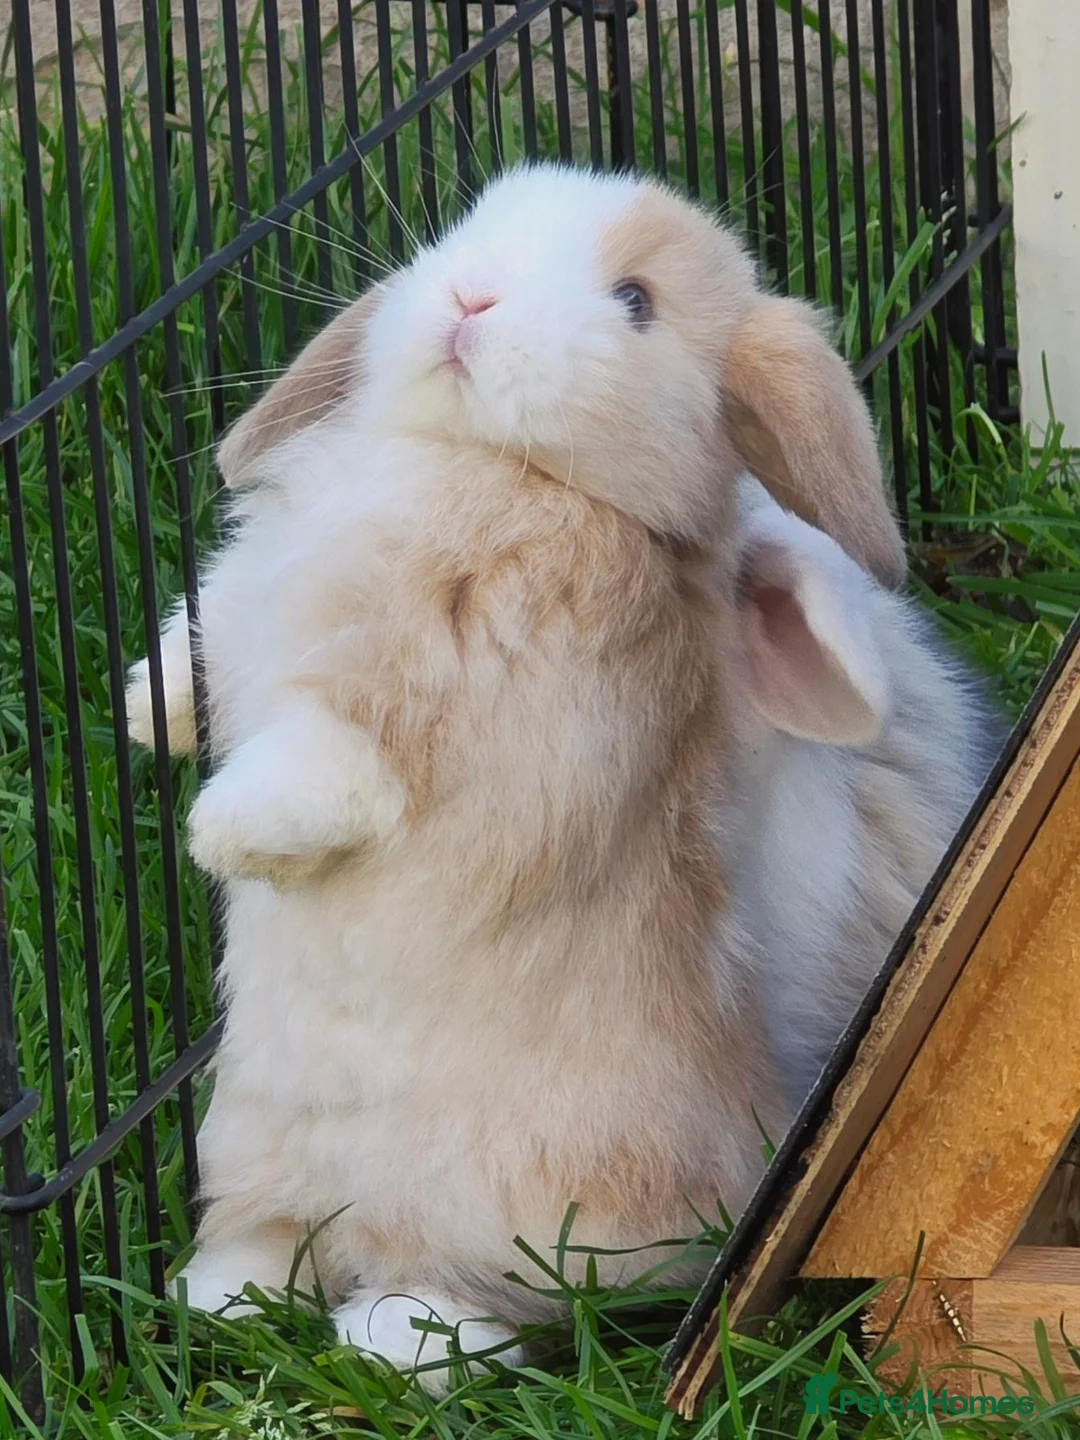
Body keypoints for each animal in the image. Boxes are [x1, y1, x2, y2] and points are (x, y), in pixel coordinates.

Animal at [125, 162, 907, 1389]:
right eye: (471, 226)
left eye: (635, 301)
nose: (470, 299)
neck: (471, 459)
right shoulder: (242, 610)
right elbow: (192, 655)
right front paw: (137, 716)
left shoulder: (440, 693)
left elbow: (330, 758)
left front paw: (225, 834)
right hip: (248, 1136)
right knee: (277, 1237)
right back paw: (223, 1299)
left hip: (518, 1203)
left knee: (478, 1300)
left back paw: (391, 1340)